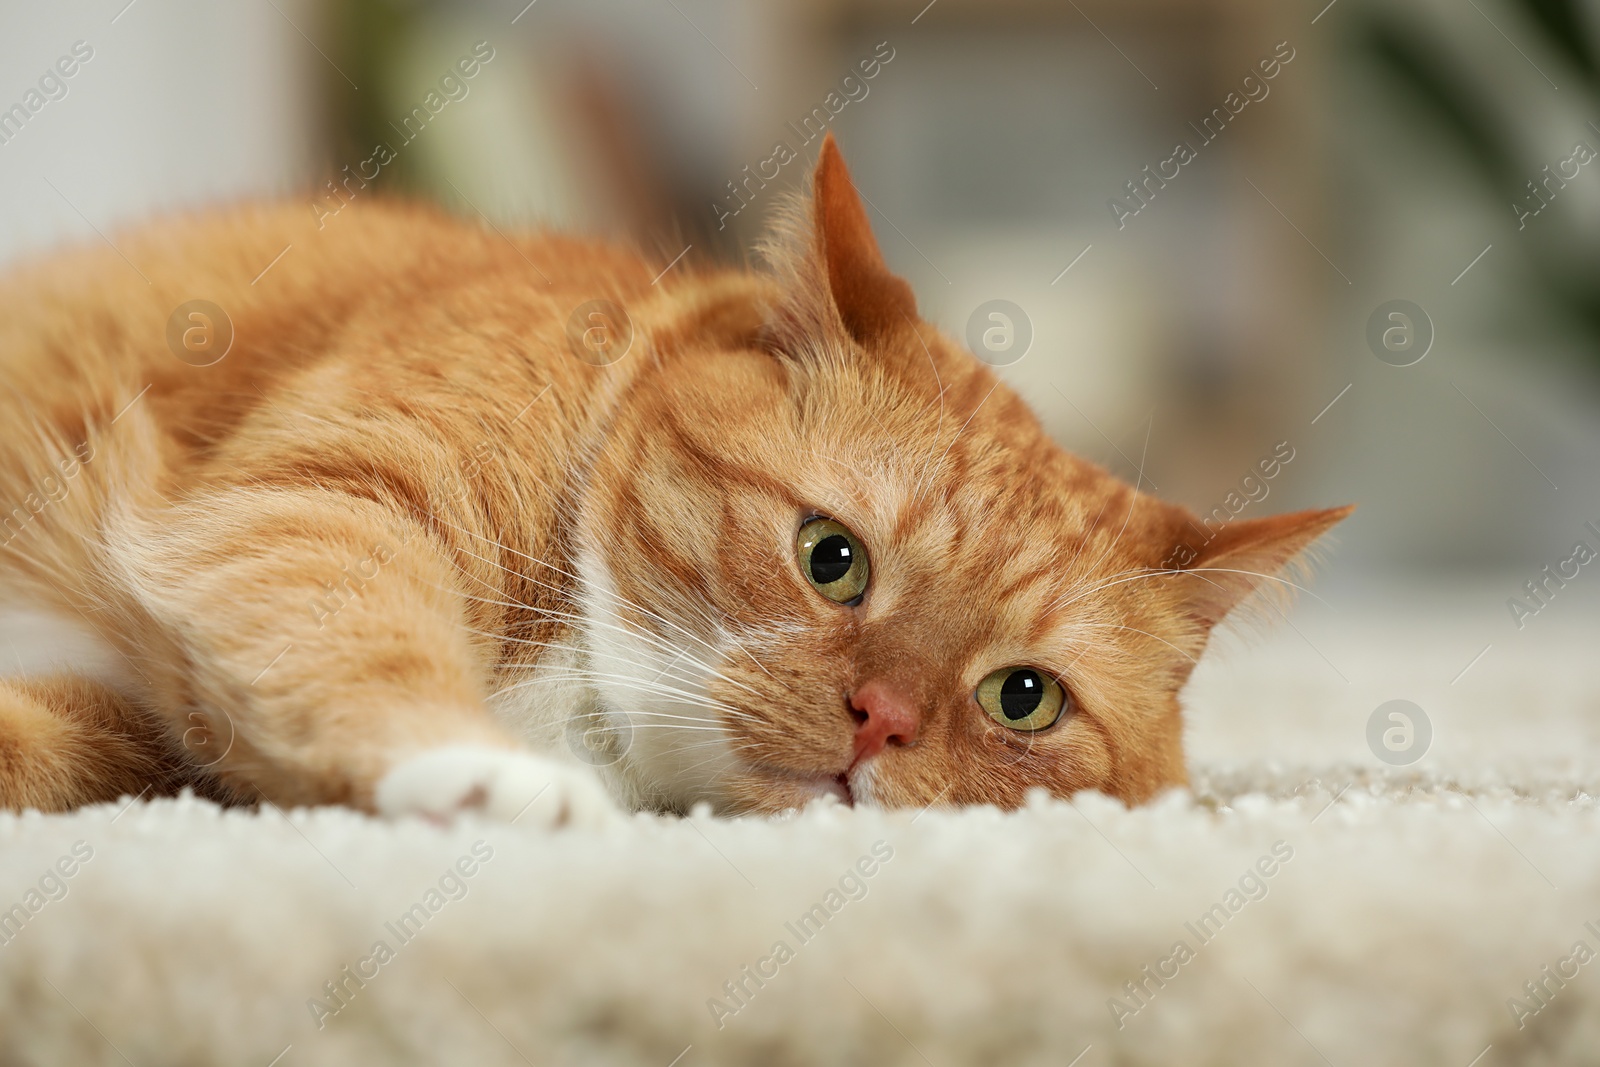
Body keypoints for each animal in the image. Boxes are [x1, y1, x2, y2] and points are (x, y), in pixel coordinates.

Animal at [0, 137, 1350, 825]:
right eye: (830, 557)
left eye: (1023, 697)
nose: (882, 720)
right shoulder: (321, 507)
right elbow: (363, 644)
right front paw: (484, 772)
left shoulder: (141, 728)